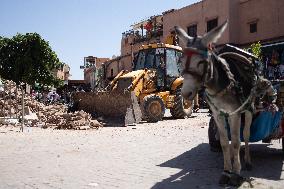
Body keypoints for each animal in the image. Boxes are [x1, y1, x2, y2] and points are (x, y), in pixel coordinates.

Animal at [174, 20, 270, 186]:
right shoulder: (218, 114)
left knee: (245, 135)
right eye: (181, 61)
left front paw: (236, 173)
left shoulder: (235, 114)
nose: (185, 94)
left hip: (248, 109)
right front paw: (226, 171)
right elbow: (225, 142)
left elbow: (237, 141)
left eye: (202, 62)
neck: (221, 86)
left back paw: (247, 162)